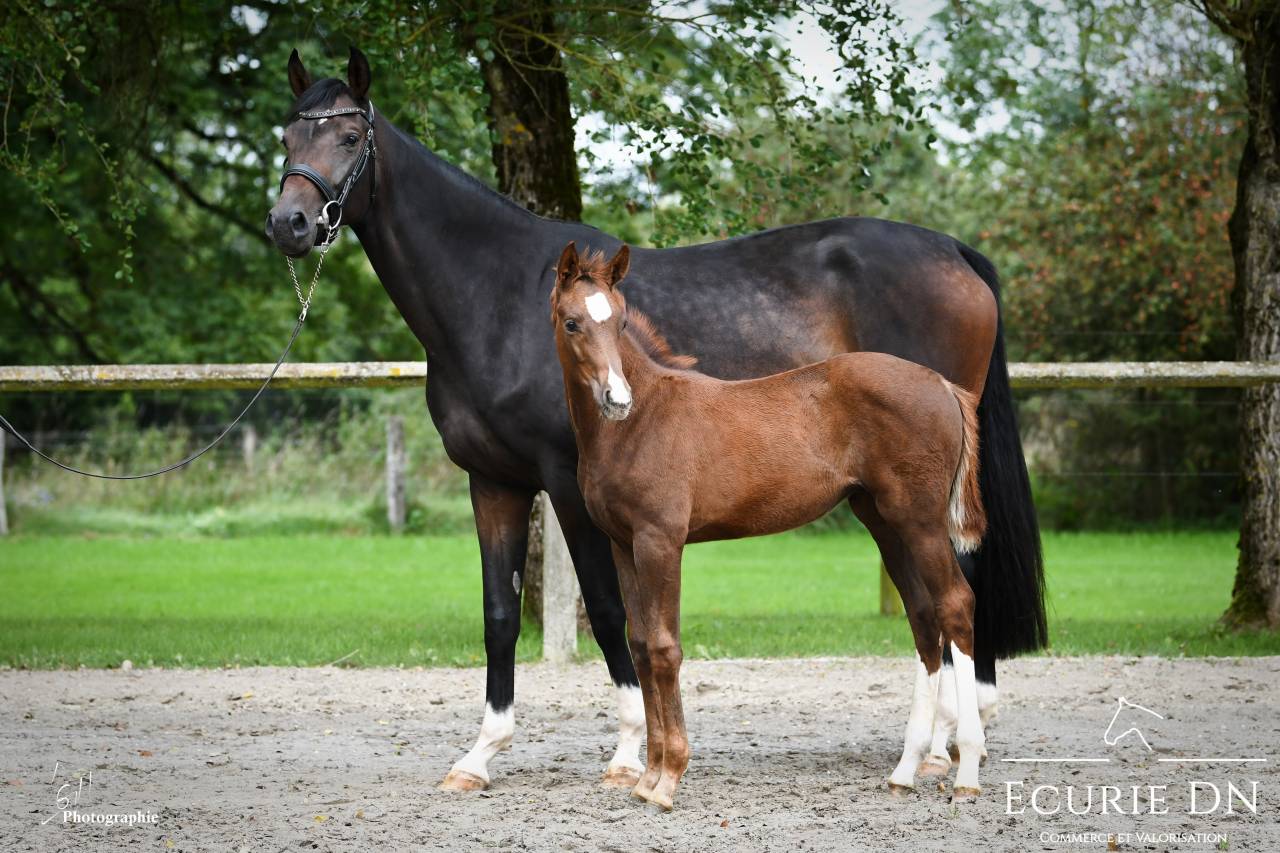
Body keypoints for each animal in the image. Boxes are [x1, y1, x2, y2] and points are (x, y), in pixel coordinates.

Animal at [550, 242, 988, 808]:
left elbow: (666, 648)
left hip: (922, 522)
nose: (616, 400)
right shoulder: (623, 545)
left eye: (621, 321)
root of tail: (940, 383)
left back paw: (967, 771)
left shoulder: (660, 540)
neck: (640, 423)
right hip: (886, 522)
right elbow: (642, 647)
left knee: (955, 605)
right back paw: (905, 769)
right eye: (572, 322)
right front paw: (646, 778)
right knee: (923, 617)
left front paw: (668, 778)